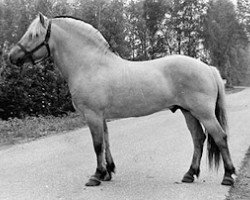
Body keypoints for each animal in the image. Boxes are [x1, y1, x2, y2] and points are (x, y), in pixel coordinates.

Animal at [8, 13, 234, 187]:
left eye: (34, 35)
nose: (11, 57)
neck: (90, 65)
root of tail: (208, 68)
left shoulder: (92, 115)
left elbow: (97, 144)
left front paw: (96, 176)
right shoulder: (100, 116)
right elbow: (106, 142)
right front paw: (108, 172)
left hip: (203, 113)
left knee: (220, 137)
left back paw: (228, 176)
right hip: (189, 113)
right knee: (198, 139)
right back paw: (189, 174)